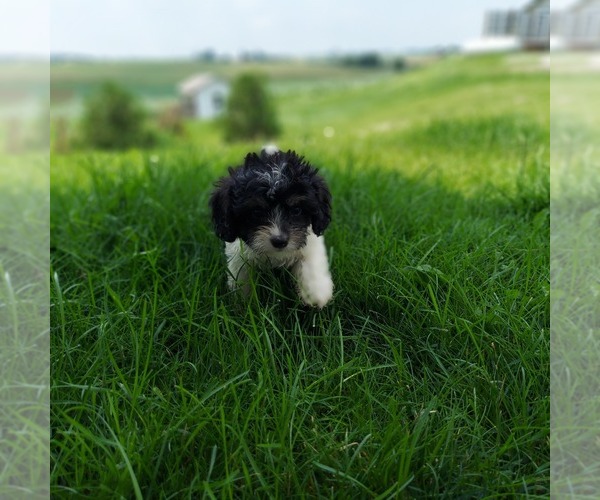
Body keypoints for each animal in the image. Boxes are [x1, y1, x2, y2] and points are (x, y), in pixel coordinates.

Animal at [210, 146, 332, 308]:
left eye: (296, 210)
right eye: (256, 212)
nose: (280, 241)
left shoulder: (311, 243)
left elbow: (310, 263)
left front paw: (316, 294)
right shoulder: (238, 255)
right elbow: (241, 277)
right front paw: (243, 304)